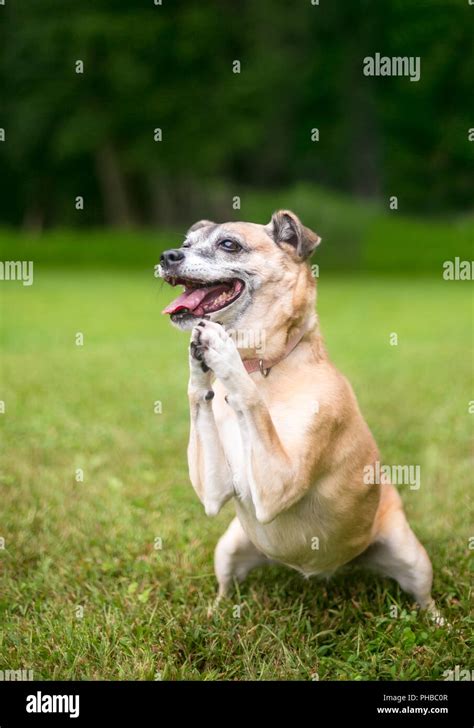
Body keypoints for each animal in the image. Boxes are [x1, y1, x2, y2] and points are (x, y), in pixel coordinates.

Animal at [158, 209, 440, 620]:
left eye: (229, 244)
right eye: (186, 244)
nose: (168, 256)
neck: (266, 367)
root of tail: (334, 569)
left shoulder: (279, 483)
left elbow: (251, 401)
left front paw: (224, 354)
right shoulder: (214, 491)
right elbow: (201, 395)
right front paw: (199, 361)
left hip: (412, 558)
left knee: (424, 597)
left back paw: (438, 621)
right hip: (228, 548)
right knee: (226, 588)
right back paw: (214, 613)